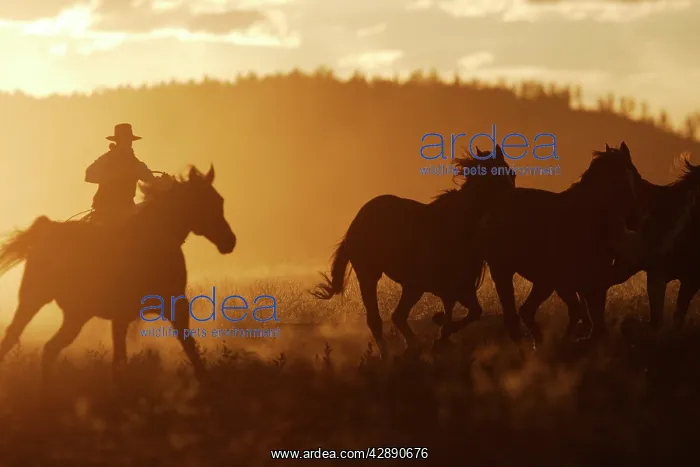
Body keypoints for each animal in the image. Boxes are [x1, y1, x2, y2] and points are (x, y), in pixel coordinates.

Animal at [0, 166, 236, 382]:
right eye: (205, 202)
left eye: (220, 201)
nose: (229, 241)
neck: (153, 243)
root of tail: (48, 229)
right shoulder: (132, 313)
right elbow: (123, 360)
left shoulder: (166, 308)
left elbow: (187, 347)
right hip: (34, 300)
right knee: (19, 339)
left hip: (74, 314)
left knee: (47, 348)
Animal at [311, 146, 516, 359]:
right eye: (494, 176)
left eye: (512, 174)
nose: (513, 204)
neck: (455, 229)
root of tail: (358, 220)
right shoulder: (428, 286)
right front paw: (433, 336)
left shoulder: (459, 288)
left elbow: (473, 312)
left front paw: (440, 334)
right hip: (371, 275)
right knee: (379, 319)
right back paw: (391, 354)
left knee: (392, 317)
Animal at [471, 142, 649, 344]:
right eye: (621, 183)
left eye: (637, 176)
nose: (635, 219)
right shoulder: (580, 282)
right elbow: (591, 323)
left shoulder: (589, 283)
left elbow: (589, 320)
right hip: (509, 272)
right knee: (518, 316)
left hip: (541, 280)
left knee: (524, 314)